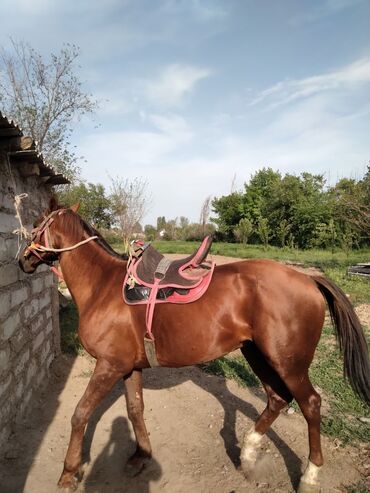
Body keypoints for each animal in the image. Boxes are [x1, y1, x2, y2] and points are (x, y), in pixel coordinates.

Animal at [18, 200, 370, 492]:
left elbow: (80, 414)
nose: (22, 260)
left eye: (36, 223)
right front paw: (141, 455)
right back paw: (248, 453)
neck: (102, 286)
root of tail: (309, 279)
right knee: (277, 399)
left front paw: (69, 473)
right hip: (256, 353)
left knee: (310, 404)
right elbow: (134, 410)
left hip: (288, 362)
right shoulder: (128, 367)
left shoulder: (108, 365)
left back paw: (310, 476)